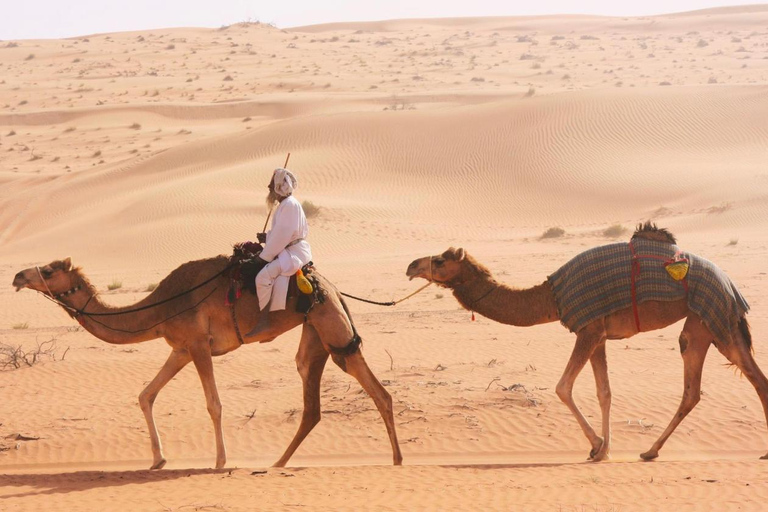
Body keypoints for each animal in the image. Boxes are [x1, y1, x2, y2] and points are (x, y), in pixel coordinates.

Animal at [12, 256, 402, 468]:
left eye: (49, 270)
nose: (17, 275)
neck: (159, 308)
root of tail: (332, 287)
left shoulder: (199, 344)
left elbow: (214, 404)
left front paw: (219, 461)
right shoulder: (181, 348)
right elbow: (145, 395)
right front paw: (158, 459)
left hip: (329, 322)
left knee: (372, 386)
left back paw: (397, 460)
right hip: (314, 332)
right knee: (312, 394)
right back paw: (278, 462)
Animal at [404, 223, 764, 460]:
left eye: (440, 260)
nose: (410, 265)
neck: (552, 297)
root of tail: (730, 282)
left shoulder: (587, 329)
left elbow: (563, 387)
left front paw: (596, 446)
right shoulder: (598, 334)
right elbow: (605, 392)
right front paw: (605, 449)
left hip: (714, 318)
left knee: (738, 379)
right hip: (707, 324)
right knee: (712, 384)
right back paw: (652, 451)